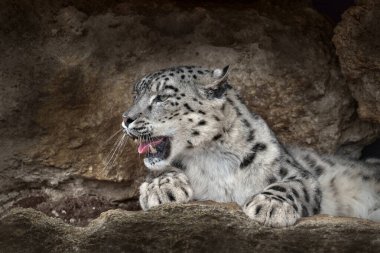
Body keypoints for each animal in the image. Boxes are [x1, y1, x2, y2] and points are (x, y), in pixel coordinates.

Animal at [121, 65, 380, 227]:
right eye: (135, 96)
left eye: (162, 97)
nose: (126, 118)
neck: (210, 155)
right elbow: (155, 172)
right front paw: (161, 189)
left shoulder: (300, 175)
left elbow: (291, 185)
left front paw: (270, 206)